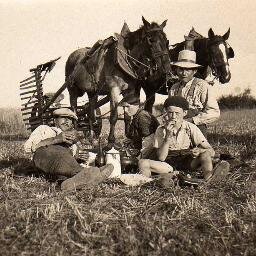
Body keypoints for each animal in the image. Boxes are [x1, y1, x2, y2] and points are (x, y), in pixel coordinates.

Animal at [65, 17, 171, 145]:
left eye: (166, 41)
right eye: (151, 40)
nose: (166, 69)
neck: (125, 59)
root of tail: (73, 55)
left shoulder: (130, 91)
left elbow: (127, 115)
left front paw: (129, 135)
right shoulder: (113, 89)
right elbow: (114, 115)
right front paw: (111, 140)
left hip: (92, 92)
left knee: (90, 112)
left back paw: (92, 137)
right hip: (72, 89)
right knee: (74, 110)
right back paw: (75, 133)